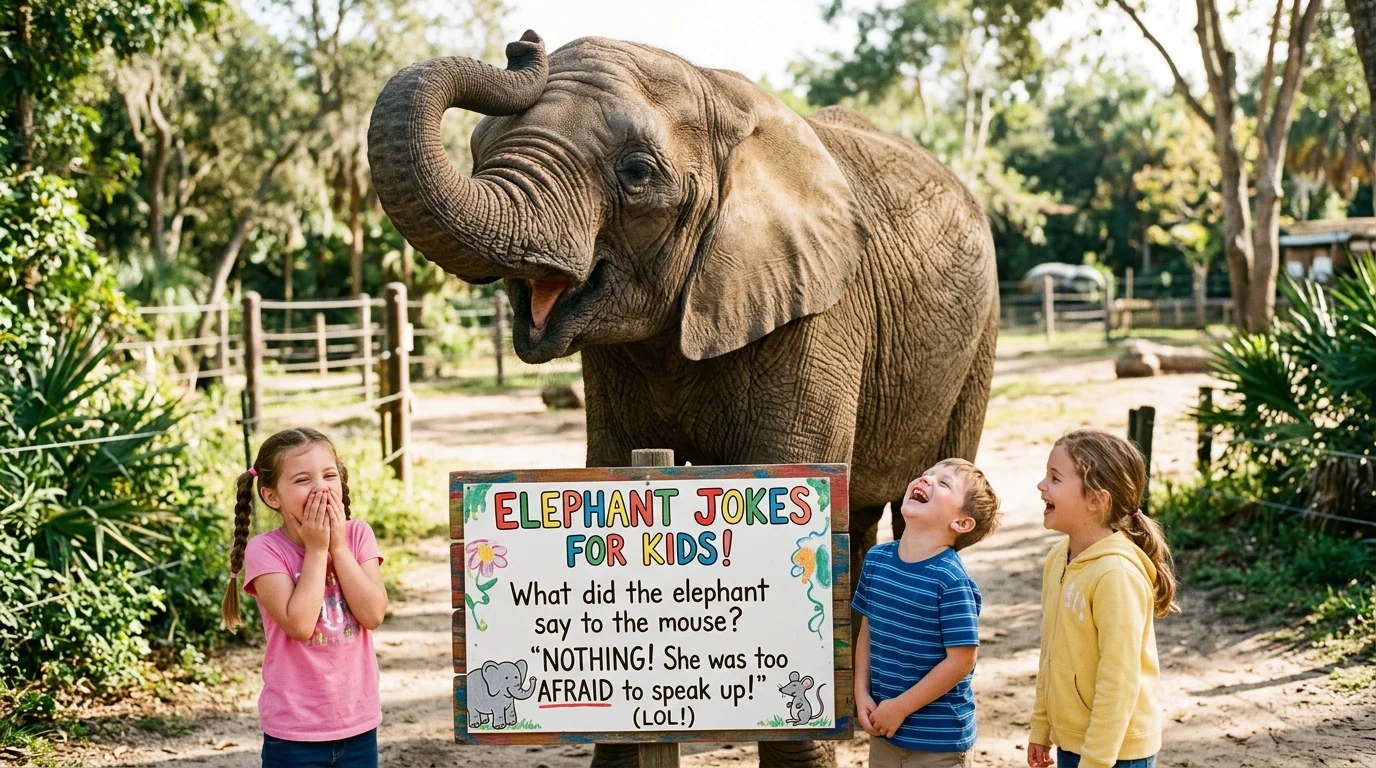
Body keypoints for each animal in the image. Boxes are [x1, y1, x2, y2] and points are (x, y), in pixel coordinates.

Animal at [369, 31, 997, 768]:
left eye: (637, 173)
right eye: (476, 150)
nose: (523, 45)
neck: (717, 94)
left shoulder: (820, 309)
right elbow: (610, 465)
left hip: (978, 339)